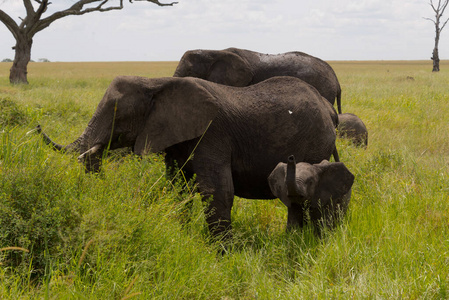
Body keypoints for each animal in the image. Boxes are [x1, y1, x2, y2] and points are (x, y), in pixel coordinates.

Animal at [36, 75, 350, 237]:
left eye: (116, 114)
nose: (94, 150)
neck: (156, 83)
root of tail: (329, 109)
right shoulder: (175, 139)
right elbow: (177, 187)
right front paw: (183, 235)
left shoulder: (212, 133)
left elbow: (216, 190)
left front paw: (222, 253)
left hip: (315, 143)